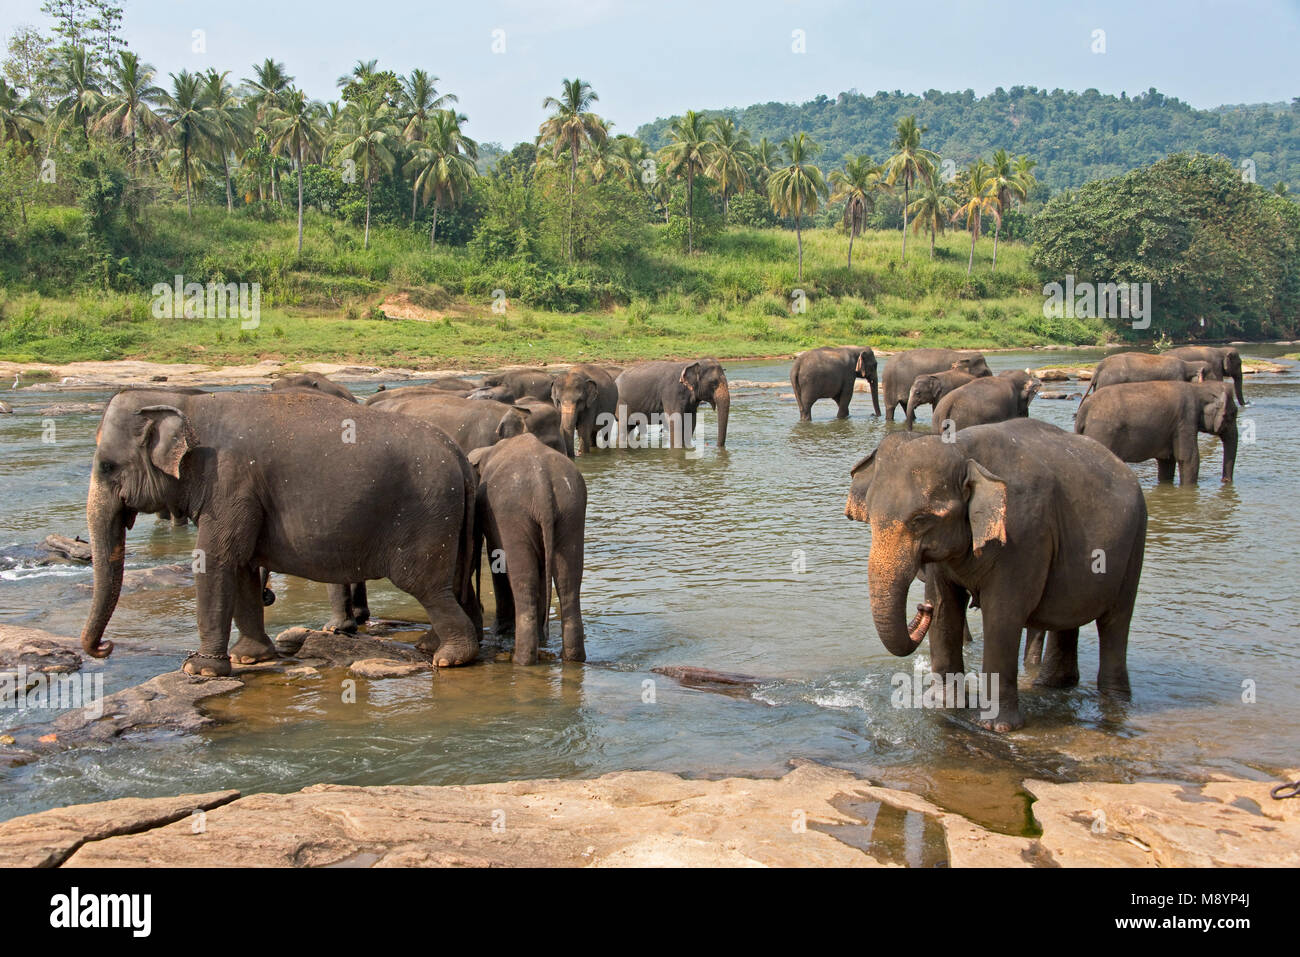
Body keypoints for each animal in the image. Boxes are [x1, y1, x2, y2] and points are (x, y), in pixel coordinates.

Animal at [79, 390, 483, 670]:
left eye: (107, 466)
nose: (105, 648)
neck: (186, 402)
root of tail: (459, 456)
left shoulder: (229, 483)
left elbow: (215, 561)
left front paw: (199, 669)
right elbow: (241, 567)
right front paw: (249, 658)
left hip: (427, 515)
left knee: (425, 585)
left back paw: (449, 658)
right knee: (452, 585)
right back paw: (433, 645)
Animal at [470, 434, 587, 665]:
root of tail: (543, 485)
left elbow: (496, 560)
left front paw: (499, 631)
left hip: (512, 515)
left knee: (524, 581)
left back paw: (521, 660)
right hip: (572, 510)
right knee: (568, 582)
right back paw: (571, 659)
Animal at [847, 421, 1144, 733]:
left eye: (921, 520)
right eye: (871, 516)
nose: (920, 609)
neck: (963, 450)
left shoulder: (1023, 534)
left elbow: (1003, 615)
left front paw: (995, 727)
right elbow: (945, 608)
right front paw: (942, 706)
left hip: (1135, 543)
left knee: (1115, 622)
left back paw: (1114, 702)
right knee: (1068, 618)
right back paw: (1052, 686)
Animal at [1076, 379, 1237, 486]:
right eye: (1232, 414)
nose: (1225, 480)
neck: (1198, 388)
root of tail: (1084, 409)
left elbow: (1167, 461)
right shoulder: (1185, 419)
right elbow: (1188, 458)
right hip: (1103, 433)